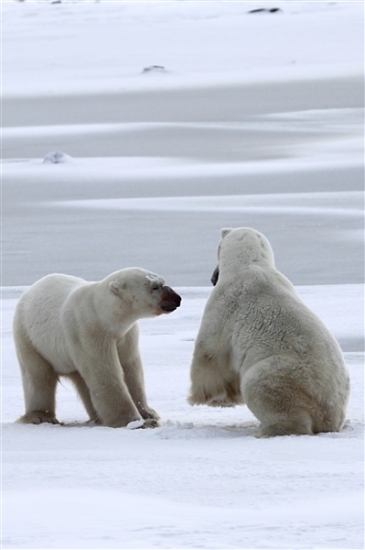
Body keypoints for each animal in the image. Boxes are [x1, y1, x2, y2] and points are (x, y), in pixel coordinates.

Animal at [13, 270, 181, 430]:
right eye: (155, 286)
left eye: (162, 282)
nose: (177, 298)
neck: (103, 312)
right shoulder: (90, 332)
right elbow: (104, 374)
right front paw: (137, 422)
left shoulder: (126, 334)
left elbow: (131, 369)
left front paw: (149, 413)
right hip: (30, 338)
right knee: (38, 375)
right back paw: (41, 417)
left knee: (81, 380)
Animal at [189, 226, 348, 438]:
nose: (212, 278)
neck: (249, 265)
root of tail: (331, 418)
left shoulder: (224, 302)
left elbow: (209, 352)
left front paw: (202, 398)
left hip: (286, 377)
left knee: (261, 385)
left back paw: (265, 430)